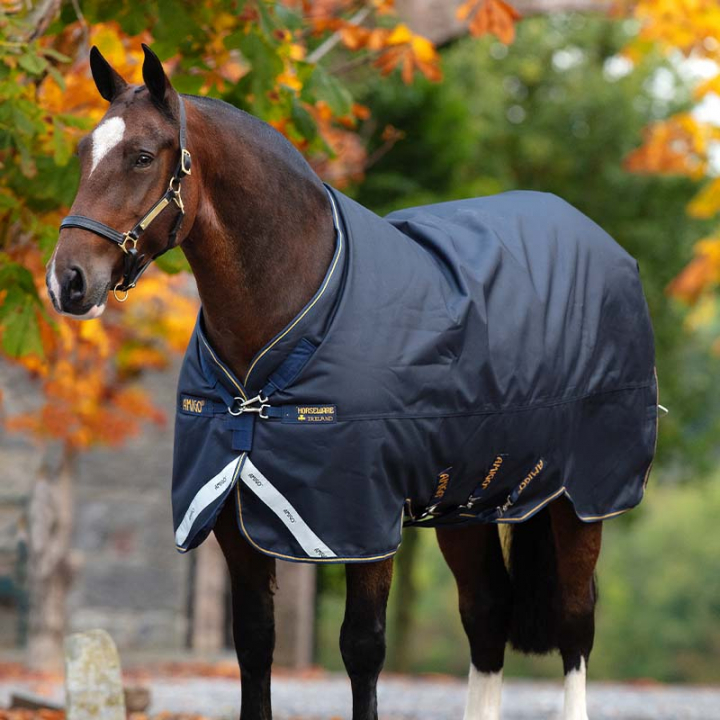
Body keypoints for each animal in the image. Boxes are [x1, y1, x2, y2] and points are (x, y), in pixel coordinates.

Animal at [46, 45, 657, 720]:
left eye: (142, 155)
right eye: (83, 151)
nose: (68, 281)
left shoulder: (361, 522)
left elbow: (362, 648)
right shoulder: (232, 518)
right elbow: (254, 644)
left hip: (581, 499)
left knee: (574, 622)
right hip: (470, 501)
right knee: (487, 613)